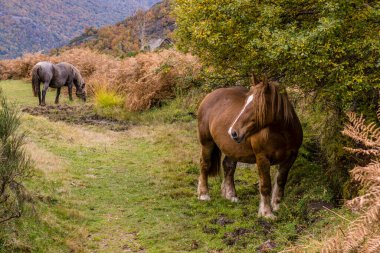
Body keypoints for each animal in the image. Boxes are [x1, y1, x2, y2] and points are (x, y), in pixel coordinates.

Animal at [197, 79, 302, 219]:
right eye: (245, 103)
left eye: (257, 105)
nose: (233, 132)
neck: (282, 134)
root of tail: (209, 96)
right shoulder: (262, 158)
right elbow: (265, 185)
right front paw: (267, 212)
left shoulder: (291, 157)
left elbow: (280, 181)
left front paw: (277, 206)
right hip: (207, 143)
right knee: (205, 164)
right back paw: (204, 194)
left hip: (233, 148)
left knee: (228, 166)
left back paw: (231, 195)